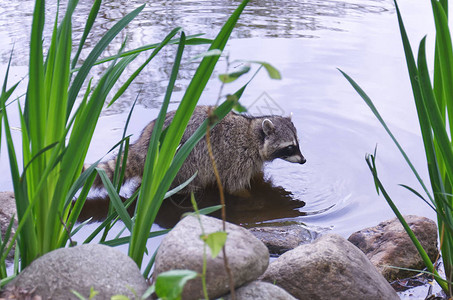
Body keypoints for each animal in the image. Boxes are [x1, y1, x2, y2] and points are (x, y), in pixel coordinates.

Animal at [89, 105, 304, 193]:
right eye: (289, 147)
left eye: (297, 144)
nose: (304, 160)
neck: (253, 133)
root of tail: (144, 145)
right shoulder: (237, 158)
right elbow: (233, 186)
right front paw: (246, 194)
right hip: (185, 162)